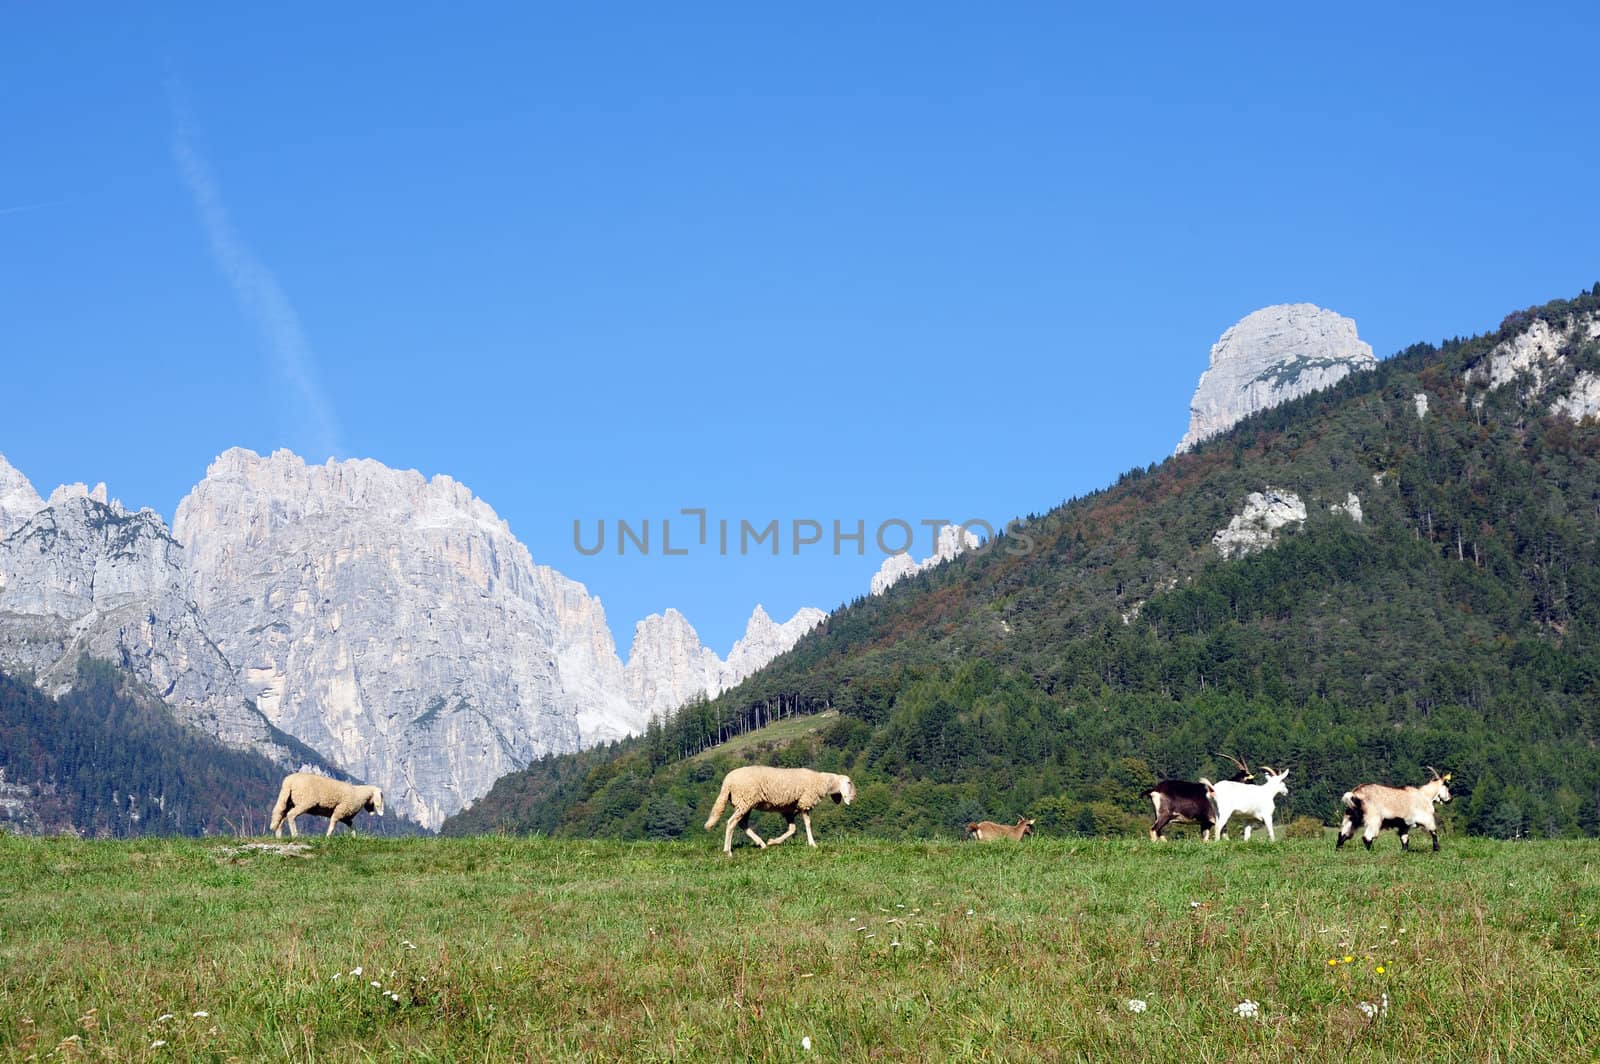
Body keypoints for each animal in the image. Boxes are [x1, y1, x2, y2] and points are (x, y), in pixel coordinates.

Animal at [700, 764, 851, 857]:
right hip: (744, 800)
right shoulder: (804, 802)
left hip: (745, 804)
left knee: (742, 824)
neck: (821, 781)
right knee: (731, 823)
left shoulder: (789, 810)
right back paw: (728, 851)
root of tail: (727, 783)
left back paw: (761, 844)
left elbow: (792, 829)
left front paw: (773, 841)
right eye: (849, 783)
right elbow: (807, 824)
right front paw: (813, 844)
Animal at [1331, 768, 1459, 851]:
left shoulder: (1404, 825)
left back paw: (1338, 850)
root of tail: (1356, 794)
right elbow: (1433, 831)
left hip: (1350, 816)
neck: (1425, 795)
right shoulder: (1426, 818)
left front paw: (1404, 851)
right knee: (1367, 837)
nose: (1450, 799)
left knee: (1343, 834)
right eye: (1447, 785)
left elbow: (1404, 839)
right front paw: (1437, 848)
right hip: (1374, 818)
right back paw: (1371, 852)